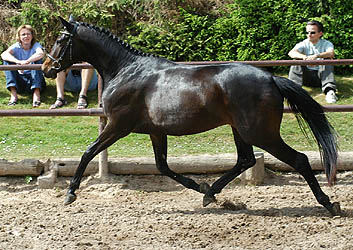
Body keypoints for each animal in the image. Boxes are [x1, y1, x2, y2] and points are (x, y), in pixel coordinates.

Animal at [42, 17, 340, 216]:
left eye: (60, 40)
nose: (46, 68)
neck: (126, 71)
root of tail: (271, 78)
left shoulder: (117, 126)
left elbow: (88, 153)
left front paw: (70, 193)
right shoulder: (156, 132)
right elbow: (163, 167)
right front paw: (198, 186)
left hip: (260, 133)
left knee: (298, 160)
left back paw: (328, 203)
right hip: (241, 130)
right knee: (245, 160)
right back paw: (210, 194)